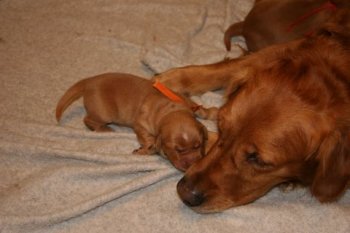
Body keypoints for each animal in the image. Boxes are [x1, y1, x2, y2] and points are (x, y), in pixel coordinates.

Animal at [55, 73, 213, 171]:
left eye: (198, 145)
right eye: (178, 150)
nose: (192, 164)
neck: (170, 109)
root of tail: (90, 80)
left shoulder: (186, 101)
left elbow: (199, 109)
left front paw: (209, 111)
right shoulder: (141, 125)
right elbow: (148, 140)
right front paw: (145, 149)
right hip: (103, 113)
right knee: (87, 119)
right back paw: (105, 129)